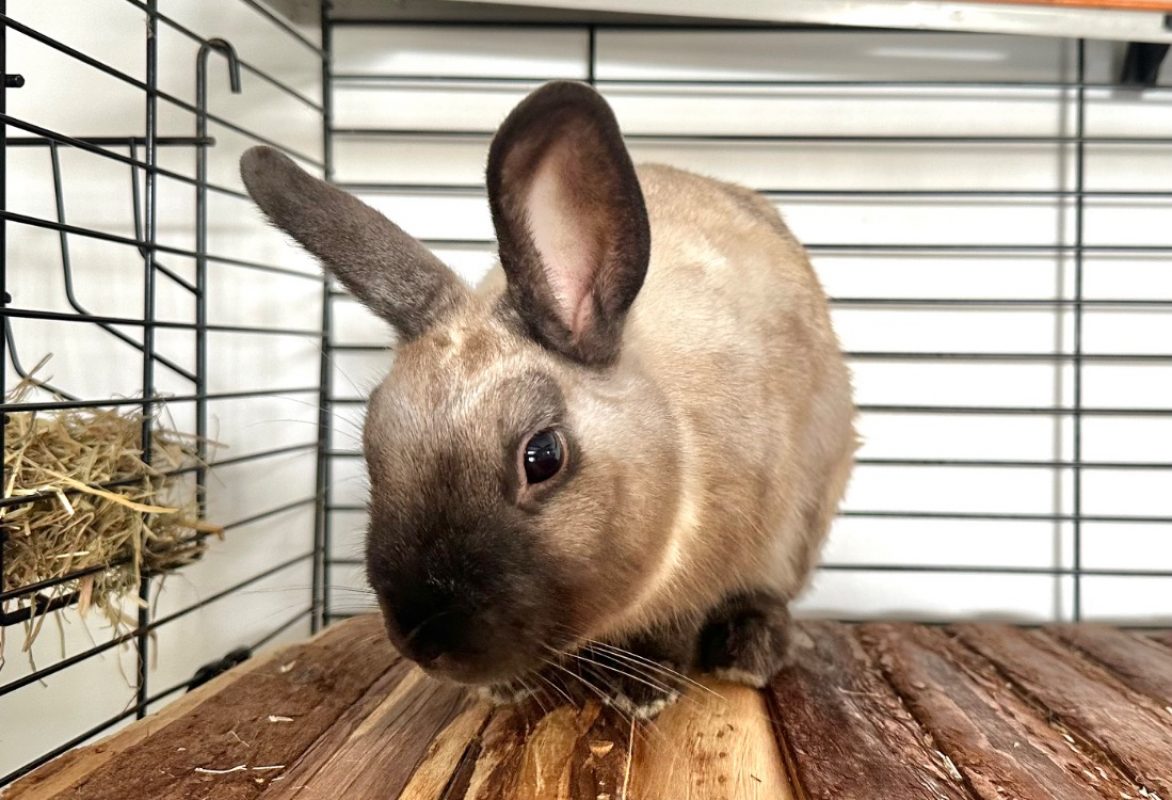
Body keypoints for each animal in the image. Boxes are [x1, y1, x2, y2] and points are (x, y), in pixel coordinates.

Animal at [240, 80, 856, 719]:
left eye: (542, 457)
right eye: (371, 449)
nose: (423, 642)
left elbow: (672, 629)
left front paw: (641, 692)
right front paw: (508, 688)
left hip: (804, 523)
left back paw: (748, 652)